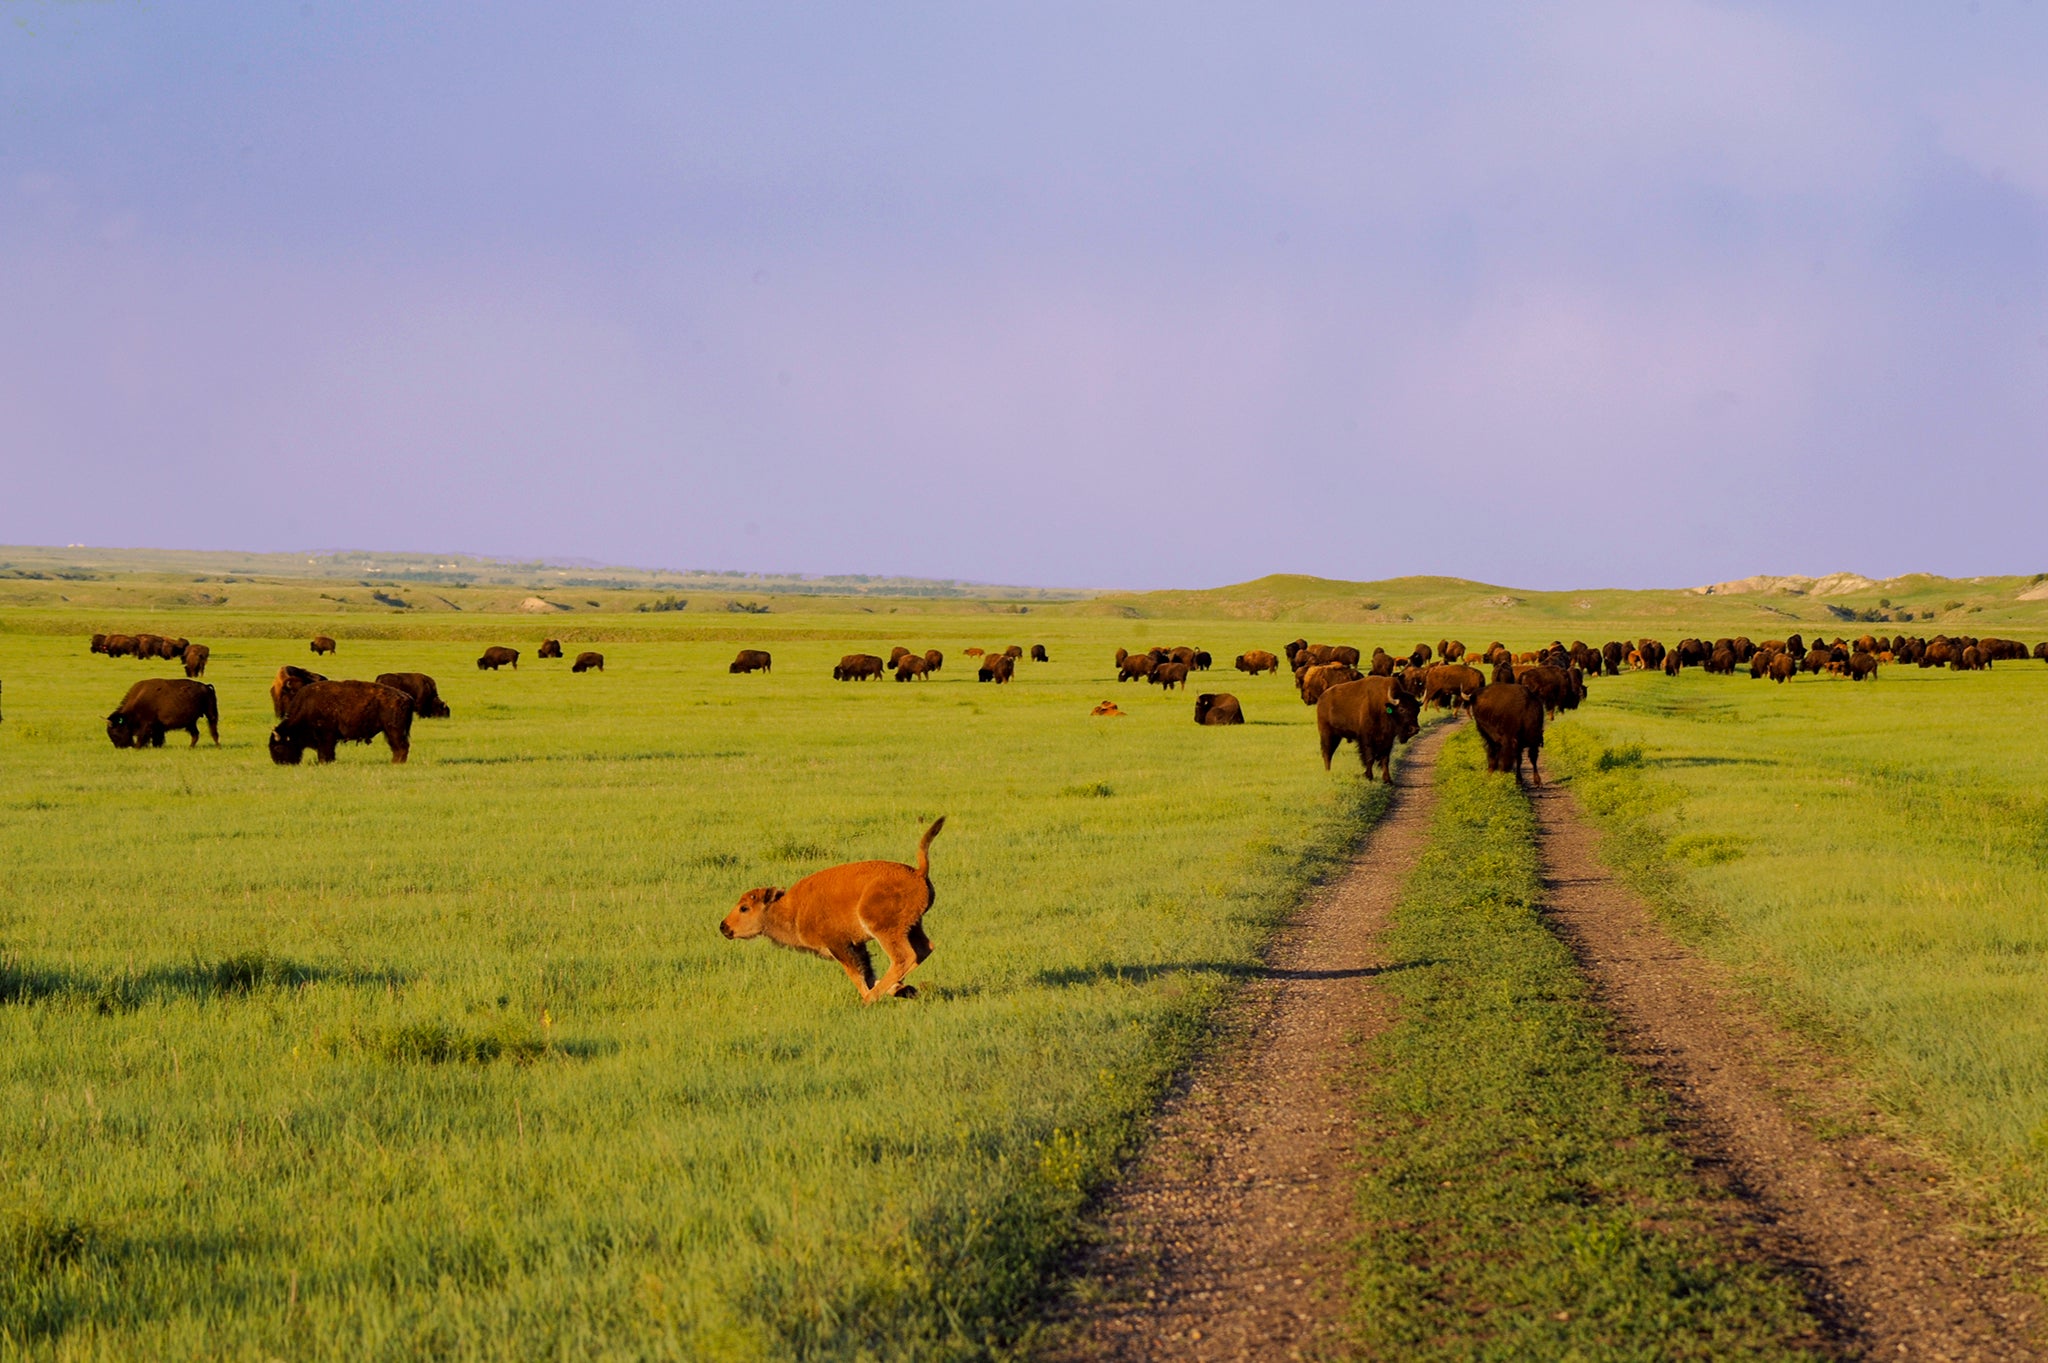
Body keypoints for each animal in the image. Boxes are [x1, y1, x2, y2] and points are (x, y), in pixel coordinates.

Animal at [272, 679, 415, 765]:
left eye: (278, 747)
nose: (279, 763)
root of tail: (407, 697)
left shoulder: (326, 736)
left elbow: (325, 751)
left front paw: (324, 762)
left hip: (393, 730)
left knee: (401, 746)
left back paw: (396, 763)